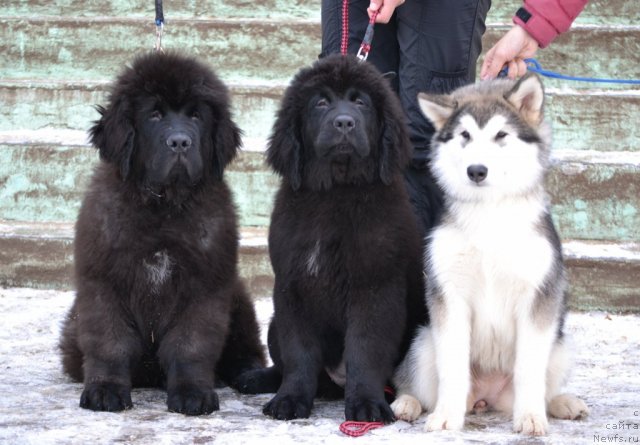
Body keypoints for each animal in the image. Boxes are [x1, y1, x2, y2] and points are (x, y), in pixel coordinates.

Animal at [61, 52, 266, 416]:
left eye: (196, 116)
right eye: (154, 115)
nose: (180, 142)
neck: (163, 206)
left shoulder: (205, 285)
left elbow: (191, 345)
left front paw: (193, 393)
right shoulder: (103, 282)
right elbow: (110, 343)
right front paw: (105, 390)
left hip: (238, 296)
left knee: (247, 347)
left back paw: (251, 375)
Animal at [234, 53, 424, 422]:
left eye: (361, 102)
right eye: (321, 103)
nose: (344, 123)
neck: (336, 192)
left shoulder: (375, 286)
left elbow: (365, 348)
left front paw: (367, 404)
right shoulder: (293, 287)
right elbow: (299, 353)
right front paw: (290, 399)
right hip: (274, 321)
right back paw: (256, 378)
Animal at [388, 73, 588, 434]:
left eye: (501, 135)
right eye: (465, 135)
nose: (476, 171)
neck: (489, 214)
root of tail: (486, 398)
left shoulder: (539, 298)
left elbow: (529, 370)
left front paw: (531, 417)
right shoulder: (449, 295)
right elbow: (453, 367)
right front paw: (445, 416)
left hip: (561, 346)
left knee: (546, 385)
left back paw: (561, 403)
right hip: (423, 342)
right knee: (415, 387)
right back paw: (408, 404)